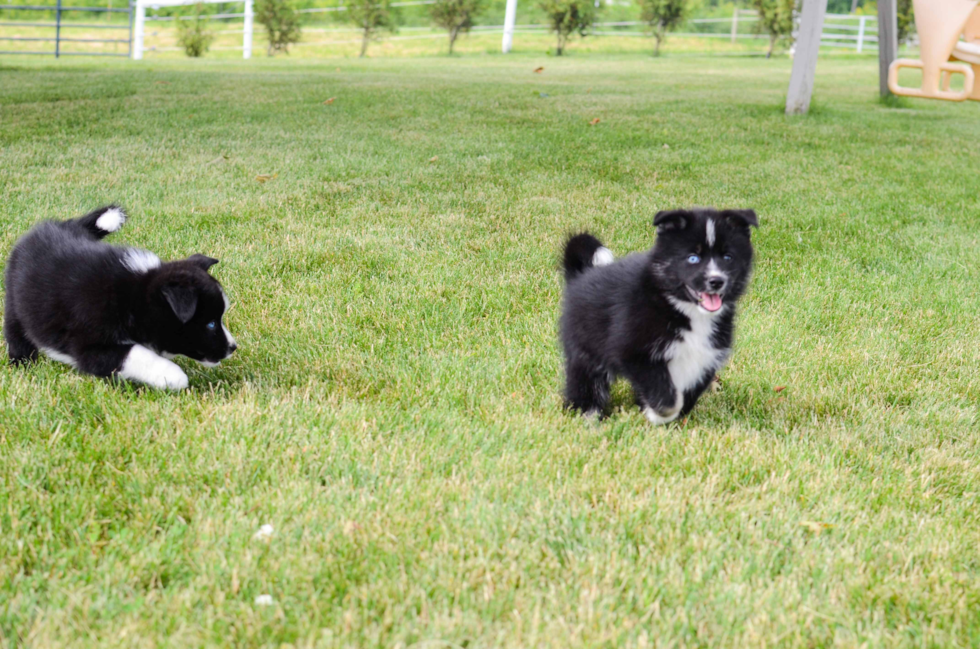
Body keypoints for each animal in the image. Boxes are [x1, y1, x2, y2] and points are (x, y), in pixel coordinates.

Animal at [3, 206, 237, 390]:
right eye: (210, 324)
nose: (233, 347)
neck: (134, 296)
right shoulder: (90, 346)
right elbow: (135, 354)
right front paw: (173, 375)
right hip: (14, 304)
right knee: (16, 333)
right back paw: (22, 363)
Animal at [560, 205, 756, 422]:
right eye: (693, 258)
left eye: (728, 257)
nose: (716, 281)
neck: (680, 308)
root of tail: (581, 274)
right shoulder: (634, 350)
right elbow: (665, 396)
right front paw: (658, 415)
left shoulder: (706, 357)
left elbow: (686, 395)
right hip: (585, 346)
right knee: (587, 382)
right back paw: (587, 415)